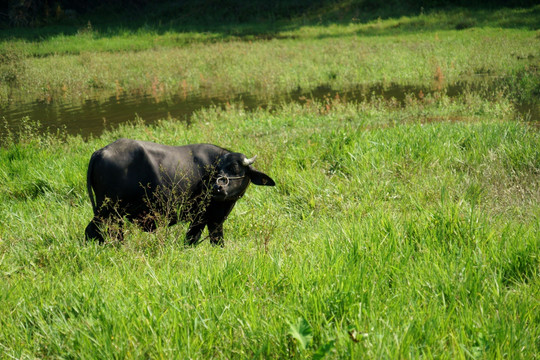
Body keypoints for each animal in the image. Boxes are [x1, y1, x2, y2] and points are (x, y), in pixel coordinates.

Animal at [87, 138, 278, 245]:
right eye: (217, 170)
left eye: (235, 168)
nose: (218, 187)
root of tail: (100, 152)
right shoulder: (205, 218)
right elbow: (195, 240)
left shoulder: (213, 221)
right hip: (109, 212)